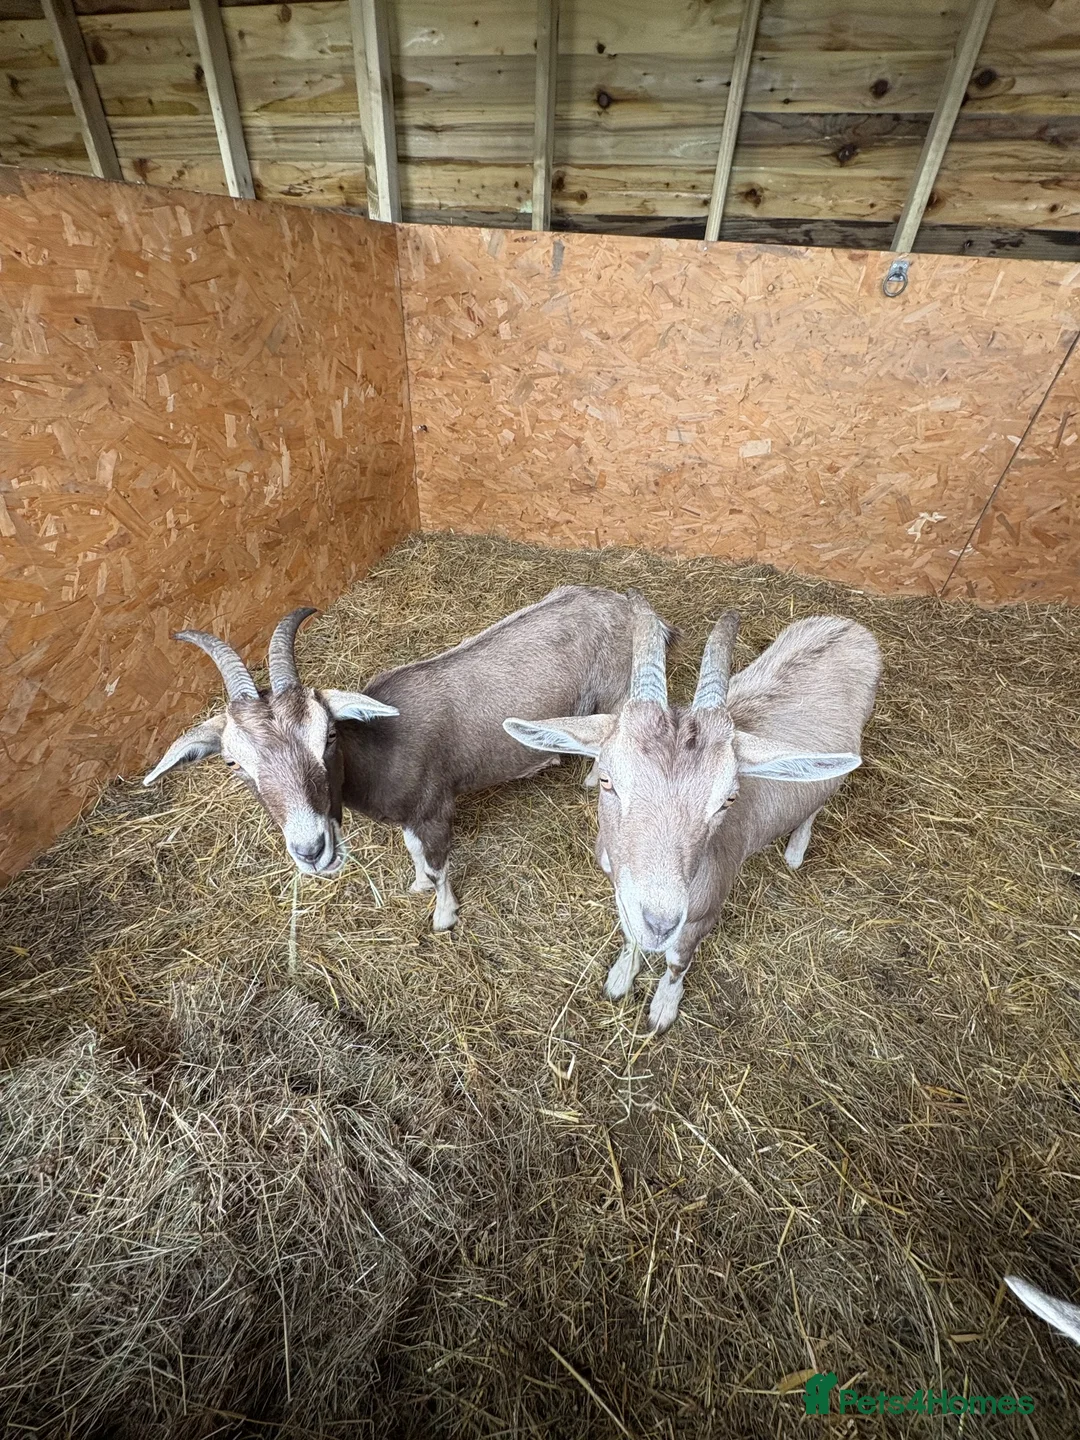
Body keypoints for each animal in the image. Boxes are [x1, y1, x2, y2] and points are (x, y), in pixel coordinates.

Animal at [144, 588, 674, 930]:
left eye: (329, 735)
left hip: (614, 690)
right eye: (234, 764)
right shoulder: (409, 815)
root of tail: (629, 605)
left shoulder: (435, 808)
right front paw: (417, 884)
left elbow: (439, 864)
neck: (382, 743)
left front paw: (443, 917)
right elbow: (414, 851)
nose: (312, 850)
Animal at [505, 597, 881, 1031]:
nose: (661, 923)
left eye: (728, 800)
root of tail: (851, 627)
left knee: (817, 803)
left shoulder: (702, 914)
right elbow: (630, 935)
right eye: (607, 780)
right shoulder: (624, 893)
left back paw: (795, 851)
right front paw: (620, 978)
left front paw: (663, 1009)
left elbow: (676, 963)